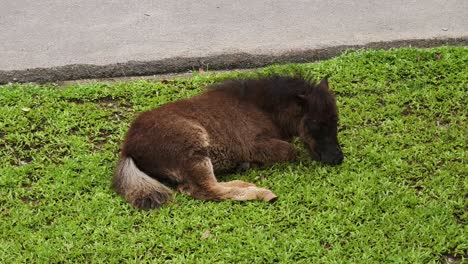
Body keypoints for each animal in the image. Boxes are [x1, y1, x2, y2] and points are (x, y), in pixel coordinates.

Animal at [111, 74, 342, 208]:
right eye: (315, 123)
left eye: (335, 120)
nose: (337, 158)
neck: (261, 108)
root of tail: (128, 149)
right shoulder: (253, 145)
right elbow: (291, 151)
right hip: (193, 146)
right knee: (207, 189)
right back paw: (263, 193)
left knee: (191, 188)